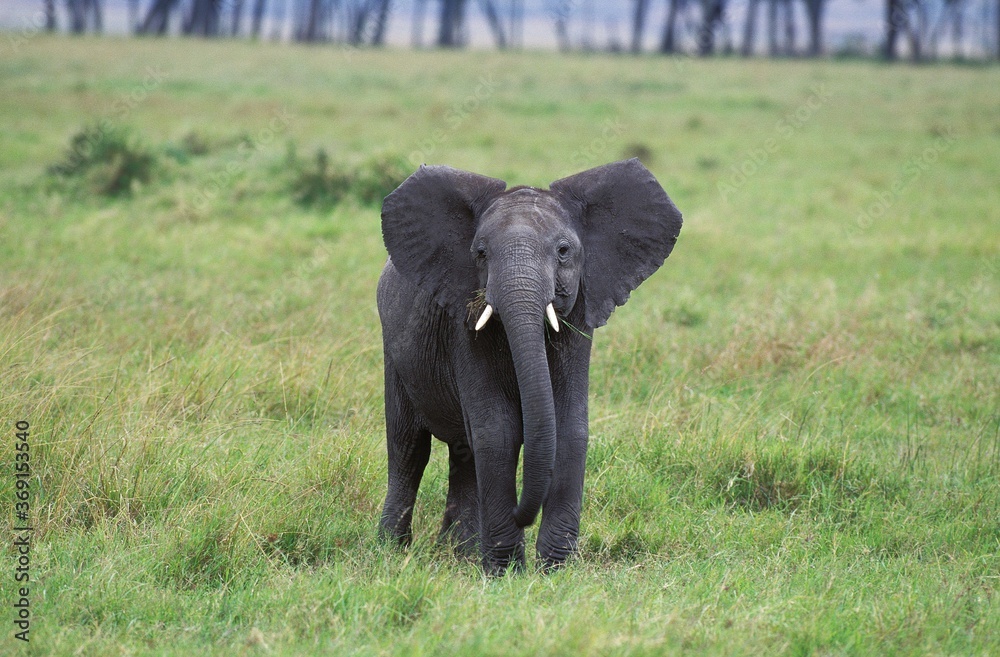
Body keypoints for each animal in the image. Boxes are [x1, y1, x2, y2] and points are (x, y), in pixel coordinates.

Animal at [377, 158, 682, 574]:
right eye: (480, 254)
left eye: (564, 251)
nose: (523, 515)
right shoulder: (463, 328)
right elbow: (498, 431)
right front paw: (505, 571)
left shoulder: (579, 316)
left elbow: (569, 429)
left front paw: (554, 570)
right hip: (394, 354)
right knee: (409, 448)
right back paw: (393, 551)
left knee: (463, 453)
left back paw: (460, 552)